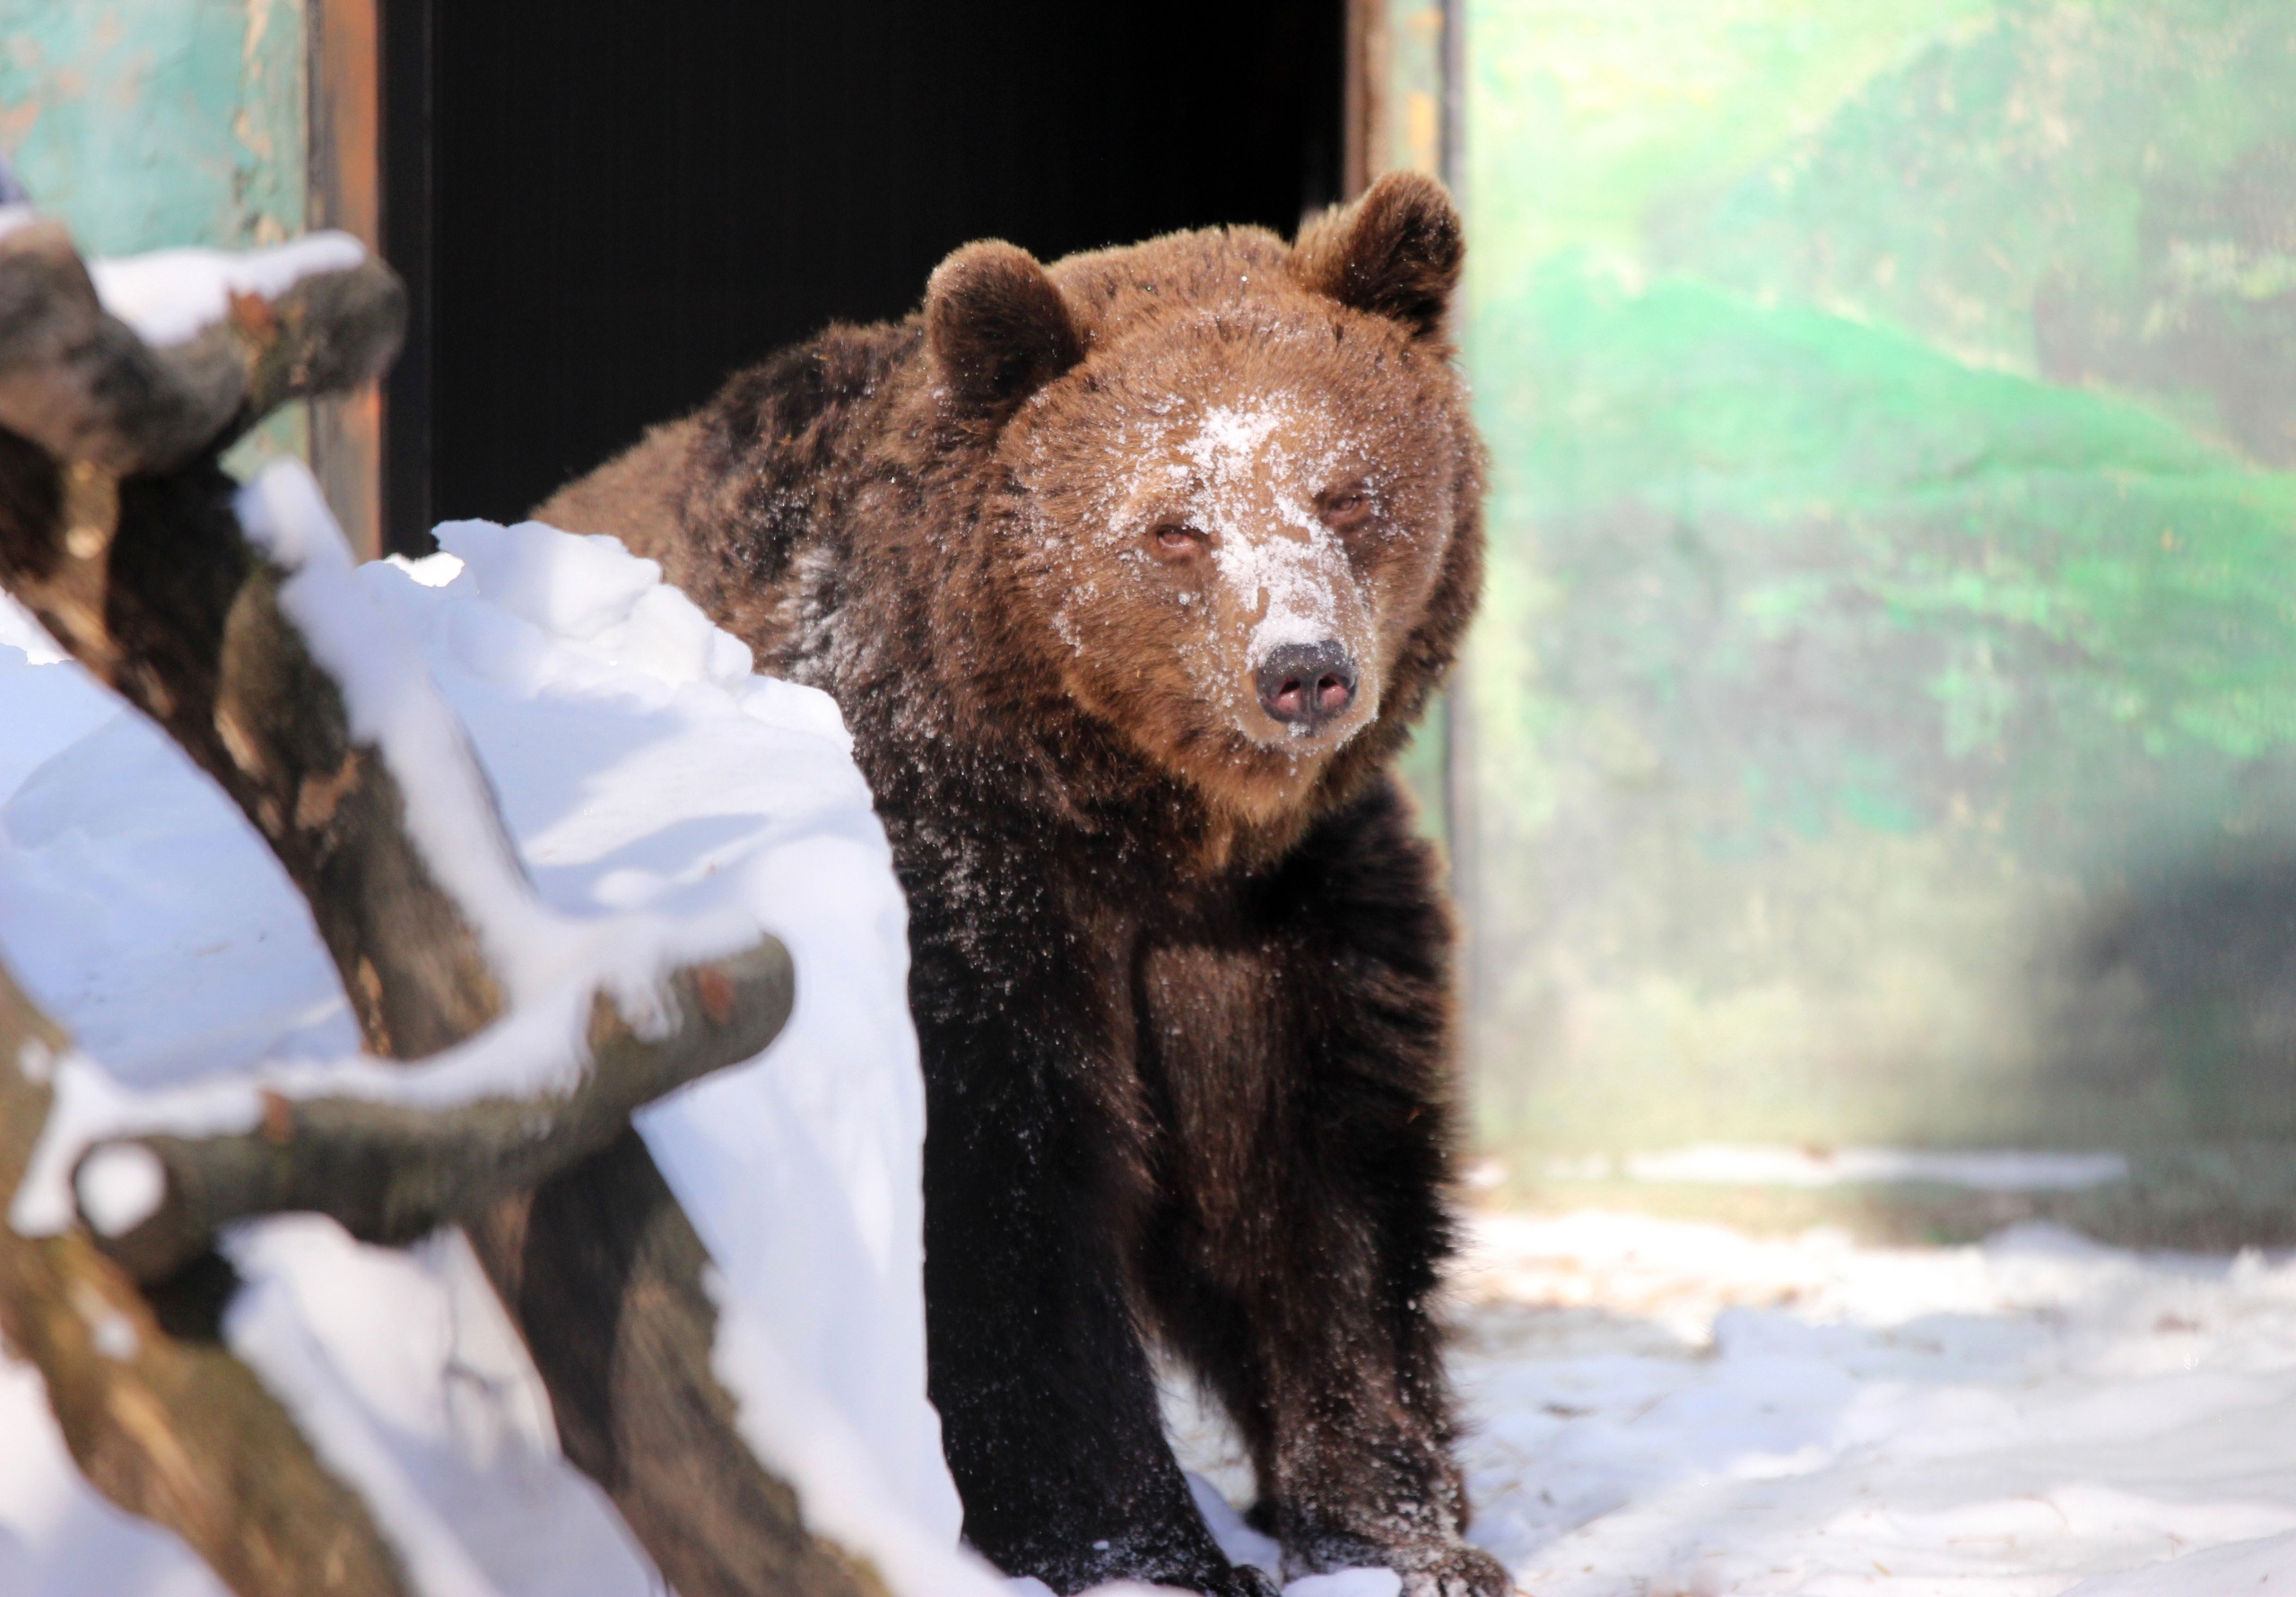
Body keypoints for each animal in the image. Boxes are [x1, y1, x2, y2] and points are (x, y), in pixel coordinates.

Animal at [537, 171, 1506, 1597]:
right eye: (1174, 525)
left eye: (1346, 494)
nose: (1300, 668)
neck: (1141, 828)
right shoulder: (967, 890)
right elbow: (1003, 1215)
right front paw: (1141, 1551)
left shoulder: (1283, 916)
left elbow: (1318, 1194)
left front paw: (1398, 1533)